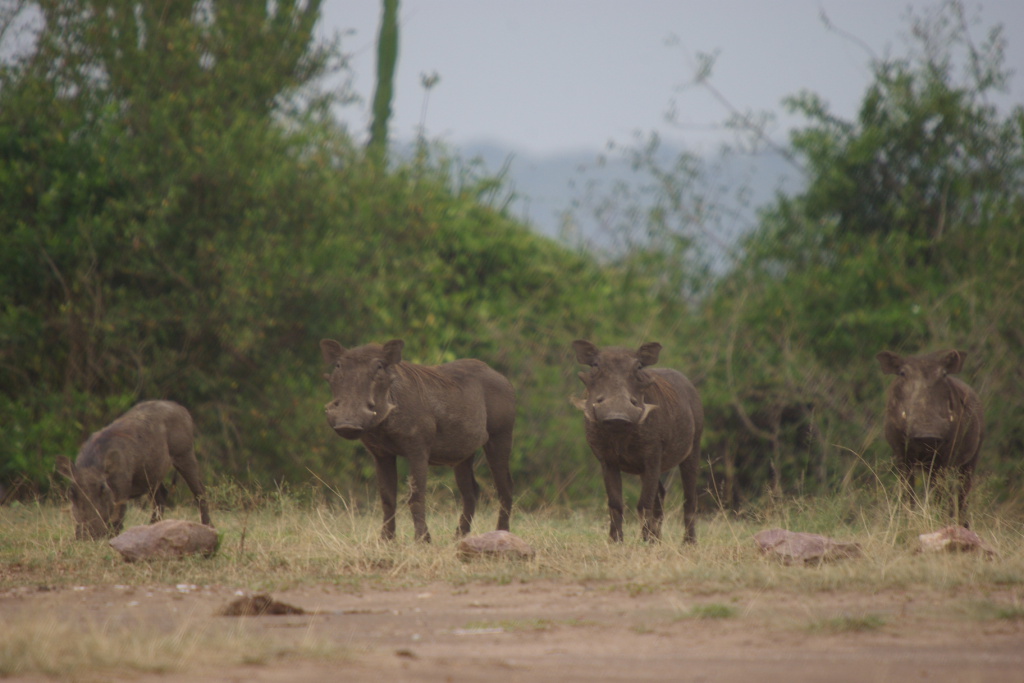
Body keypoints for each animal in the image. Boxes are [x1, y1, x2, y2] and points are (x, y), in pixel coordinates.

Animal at [55, 400, 212, 540]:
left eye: (103, 488)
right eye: (71, 492)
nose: (87, 537)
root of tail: (181, 408)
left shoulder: (122, 491)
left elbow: (117, 520)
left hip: (185, 455)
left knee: (200, 493)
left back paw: (209, 527)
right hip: (152, 476)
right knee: (161, 497)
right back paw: (151, 529)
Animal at [320, 339, 515, 542]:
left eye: (379, 366)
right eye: (338, 365)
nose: (347, 424)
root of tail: (501, 377)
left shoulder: (418, 450)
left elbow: (416, 496)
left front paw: (422, 540)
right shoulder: (381, 454)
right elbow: (387, 498)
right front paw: (385, 541)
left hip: (501, 436)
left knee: (505, 488)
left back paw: (502, 533)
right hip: (463, 453)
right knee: (471, 492)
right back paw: (458, 538)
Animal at [572, 340, 703, 543]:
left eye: (639, 367)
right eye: (595, 365)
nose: (617, 415)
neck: (620, 433)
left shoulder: (652, 457)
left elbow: (644, 502)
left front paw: (645, 541)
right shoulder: (607, 461)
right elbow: (616, 503)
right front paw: (616, 541)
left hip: (693, 450)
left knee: (689, 499)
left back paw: (688, 543)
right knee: (660, 495)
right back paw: (658, 540)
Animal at [877, 349, 984, 526]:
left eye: (944, 374)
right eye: (902, 373)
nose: (927, 431)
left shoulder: (943, 459)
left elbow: (938, 494)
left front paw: (936, 520)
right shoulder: (902, 456)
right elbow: (908, 492)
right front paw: (907, 522)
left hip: (970, 461)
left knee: (961, 495)